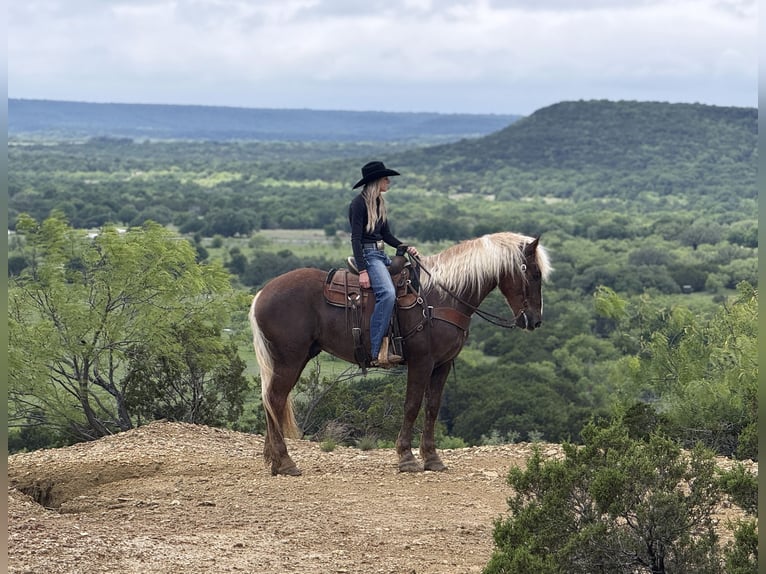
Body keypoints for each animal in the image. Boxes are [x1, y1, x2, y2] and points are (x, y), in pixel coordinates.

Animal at [249, 232, 552, 476]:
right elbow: (412, 405)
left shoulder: (442, 365)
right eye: (534, 274)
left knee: (272, 401)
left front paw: (432, 459)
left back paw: (275, 461)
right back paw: (286, 463)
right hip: (289, 360)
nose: (535, 321)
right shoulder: (421, 362)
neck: (441, 298)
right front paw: (407, 458)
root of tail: (262, 293)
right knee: (275, 399)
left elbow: (432, 408)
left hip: (294, 359)